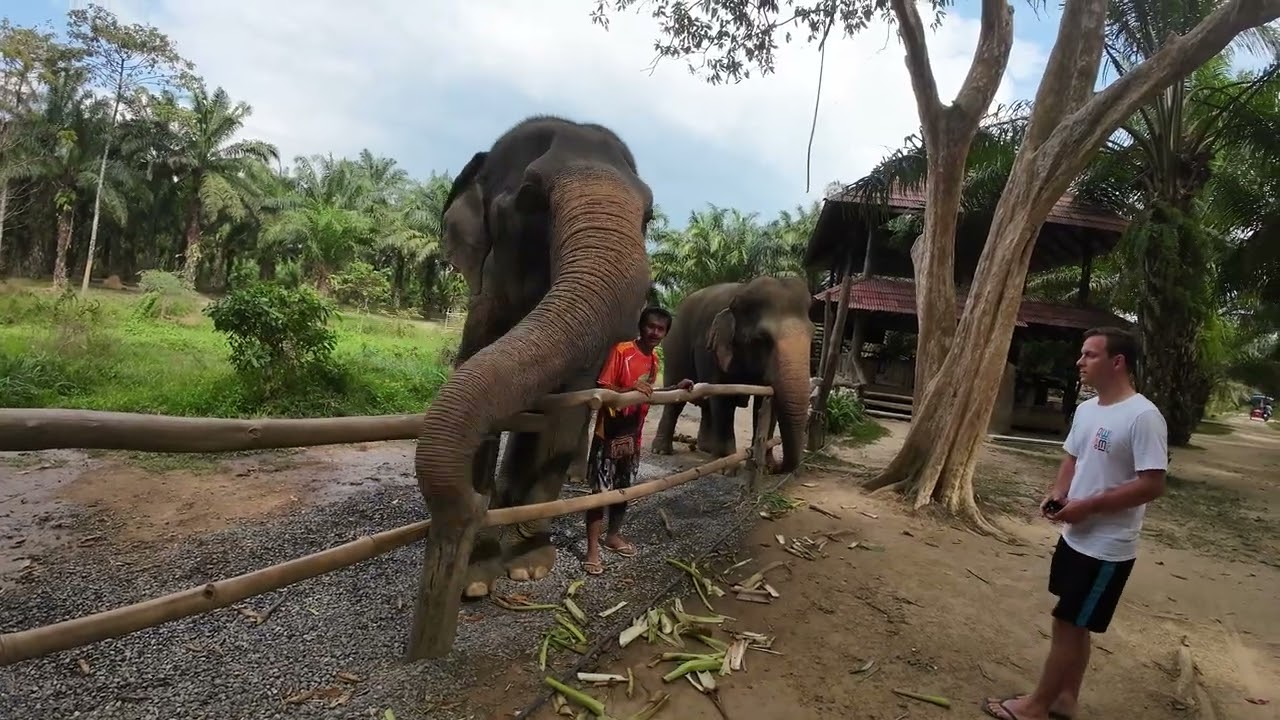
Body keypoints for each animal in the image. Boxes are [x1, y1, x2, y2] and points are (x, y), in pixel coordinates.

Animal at [413, 115, 655, 612]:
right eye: (529, 197)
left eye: (649, 217)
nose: (468, 503)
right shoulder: (482, 309)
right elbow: (476, 382)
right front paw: (475, 577)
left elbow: (568, 404)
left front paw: (528, 566)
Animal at [651, 276, 814, 473]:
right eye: (763, 339)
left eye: (813, 334)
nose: (778, 468)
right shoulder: (711, 349)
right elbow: (723, 397)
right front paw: (727, 469)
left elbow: (767, 403)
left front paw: (765, 466)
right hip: (675, 348)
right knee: (676, 400)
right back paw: (661, 451)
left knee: (706, 404)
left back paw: (707, 449)